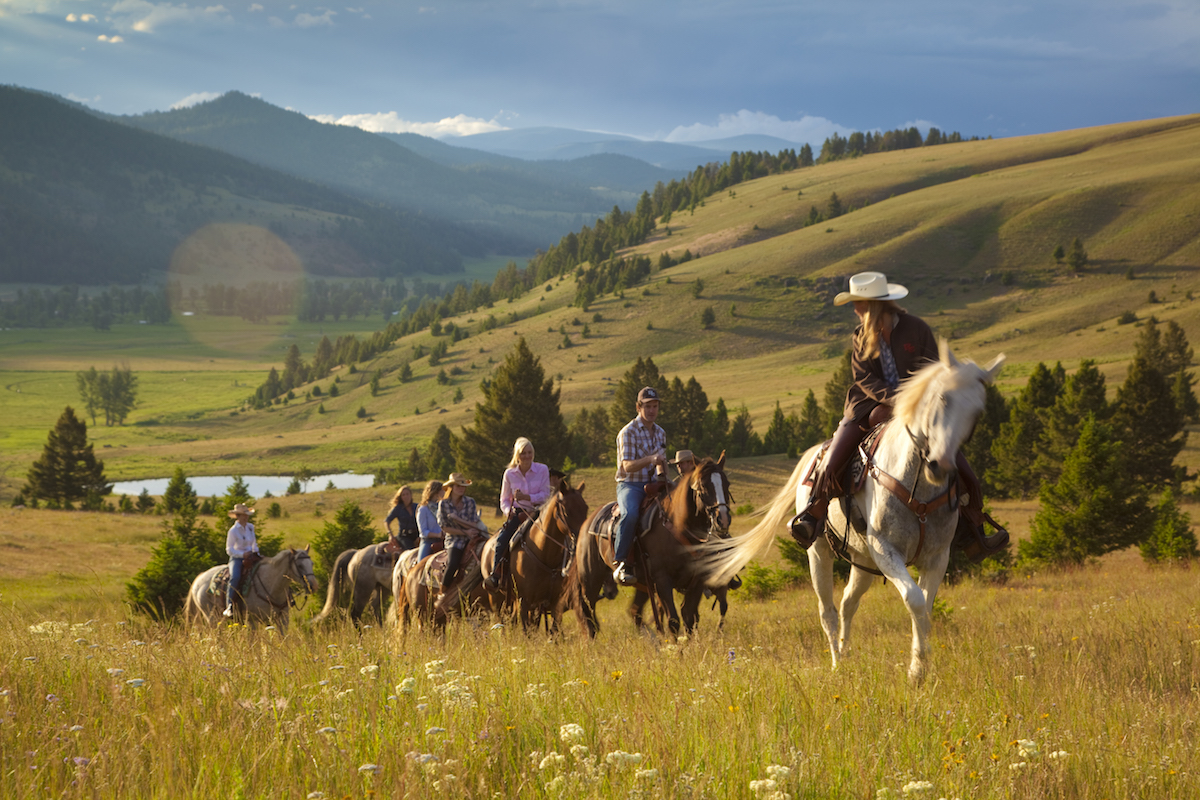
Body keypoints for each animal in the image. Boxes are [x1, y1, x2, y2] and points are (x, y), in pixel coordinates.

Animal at [480, 479, 588, 633]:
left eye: (586, 508)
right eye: (566, 510)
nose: (581, 539)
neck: (545, 555)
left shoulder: (554, 603)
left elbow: (553, 630)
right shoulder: (525, 601)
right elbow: (528, 631)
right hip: (496, 597)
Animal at [561, 455, 729, 638]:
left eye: (726, 483)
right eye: (703, 486)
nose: (722, 519)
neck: (678, 526)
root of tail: (587, 523)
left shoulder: (697, 581)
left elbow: (689, 619)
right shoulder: (663, 580)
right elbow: (673, 621)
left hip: (642, 585)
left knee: (634, 611)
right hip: (591, 578)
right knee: (587, 612)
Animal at [700, 340, 1003, 686]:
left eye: (977, 411)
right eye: (943, 398)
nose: (940, 465)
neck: (917, 484)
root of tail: (816, 452)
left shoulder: (937, 557)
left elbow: (925, 608)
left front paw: (920, 667)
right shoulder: (886, 550)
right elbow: (914, 600)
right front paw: (916, 673)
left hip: (862, 560)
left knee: (848, 603)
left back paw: (845, 655)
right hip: (819, 553)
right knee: (828, 611)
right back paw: (836, 662)